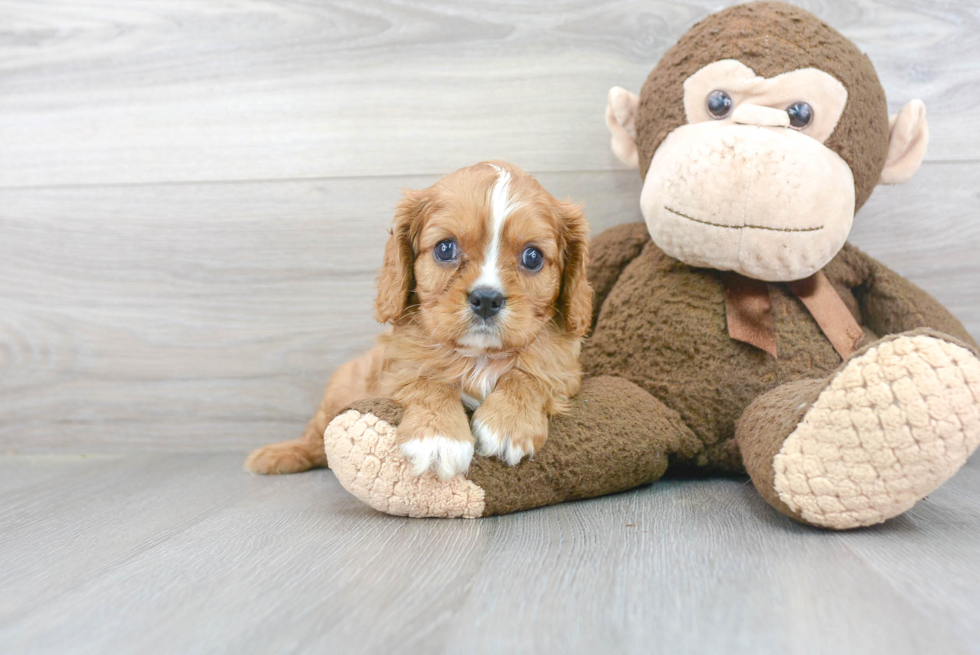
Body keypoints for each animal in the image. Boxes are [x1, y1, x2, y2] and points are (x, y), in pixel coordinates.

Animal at [249, 163, 592, 482]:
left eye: (533, 257)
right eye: (445, 248)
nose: (486, 299)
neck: (479, 356)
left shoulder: (565, 370)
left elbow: (532, 374)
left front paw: (509, 423)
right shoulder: (394, 371)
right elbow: (427, 380)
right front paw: (437, 437)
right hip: (339, 388)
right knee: (316, 435)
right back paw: (279, 455)